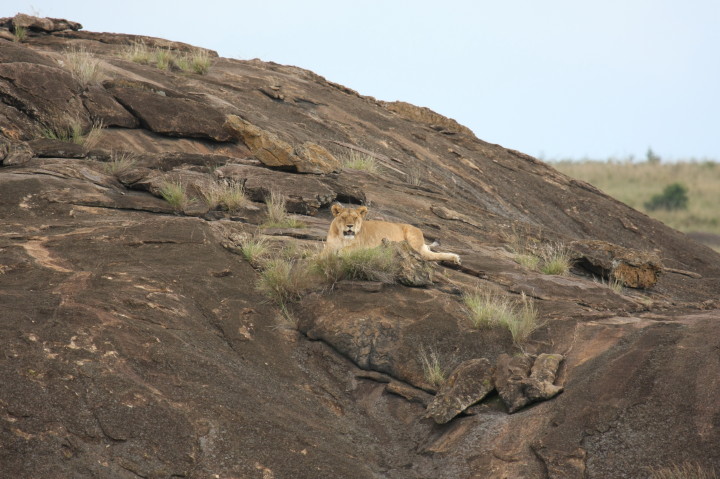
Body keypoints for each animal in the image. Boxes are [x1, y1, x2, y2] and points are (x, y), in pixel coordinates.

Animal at [324, 204, 461, 264]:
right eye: (343, 217)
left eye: (355, 218)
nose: (350, 226)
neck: (343, 237)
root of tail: (418, 229)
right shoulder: (329, 246)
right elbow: (321, 255)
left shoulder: (365, 245)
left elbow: (345, 249)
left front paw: (340, 252)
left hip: (413, 240)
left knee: (428, 255)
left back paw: (455, 258)